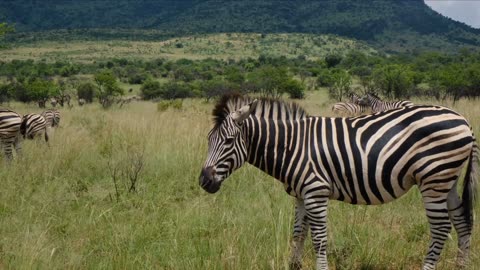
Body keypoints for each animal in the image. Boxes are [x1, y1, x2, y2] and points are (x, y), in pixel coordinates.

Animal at [198, 94, 476, 270]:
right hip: (447, 181)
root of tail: (463, 120)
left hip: (433, 179)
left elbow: (319, 239)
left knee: (441, 228)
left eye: (228, 142)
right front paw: (294, 265)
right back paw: (461, 266)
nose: (204, 181)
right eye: (209, 139)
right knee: (462, 222)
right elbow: (298, 234)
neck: (292, 146)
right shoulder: (301, 195)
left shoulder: (316, 192)